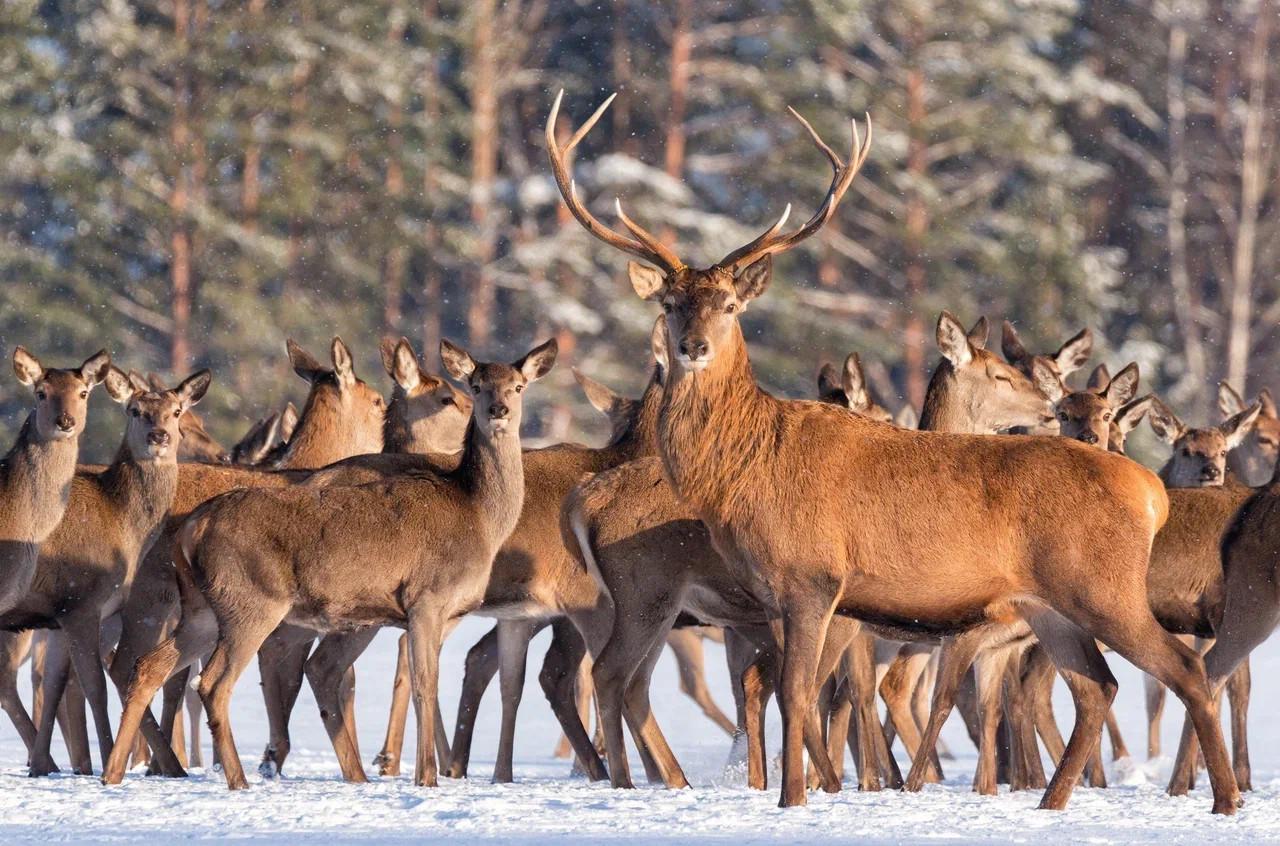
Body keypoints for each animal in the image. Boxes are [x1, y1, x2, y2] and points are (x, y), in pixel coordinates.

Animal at [7, 366, 209, 773]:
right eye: (134, 410)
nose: (159, 437)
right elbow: (96, 684)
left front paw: (44, 765)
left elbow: (56, 681)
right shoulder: (80, 605)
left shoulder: (61, 616)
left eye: (176, 411)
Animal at [103, 340, 555, 788]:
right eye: (473, 387)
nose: (498, 410)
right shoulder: (426, 598)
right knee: (210, 683)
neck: (477, 513)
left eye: (518, 386)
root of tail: (192, 529)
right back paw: (235, 778)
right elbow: (425, 686)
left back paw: (115, 771)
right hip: (250, 601)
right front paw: (426, 777)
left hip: (202, 609)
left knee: (149, 666)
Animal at [547, 90, 1239, 814]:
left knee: (1183, 668)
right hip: (1049, 605)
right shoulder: (777, 596)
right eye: (672, 302)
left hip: (1102, 587)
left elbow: (799, 695)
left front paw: (793, 801)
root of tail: (1152, 492)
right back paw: (1052, 802)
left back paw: (1222, 799)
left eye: (731, 303)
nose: (693, 346)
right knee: (1097, 685)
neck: (744, 470)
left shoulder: (813, 578)